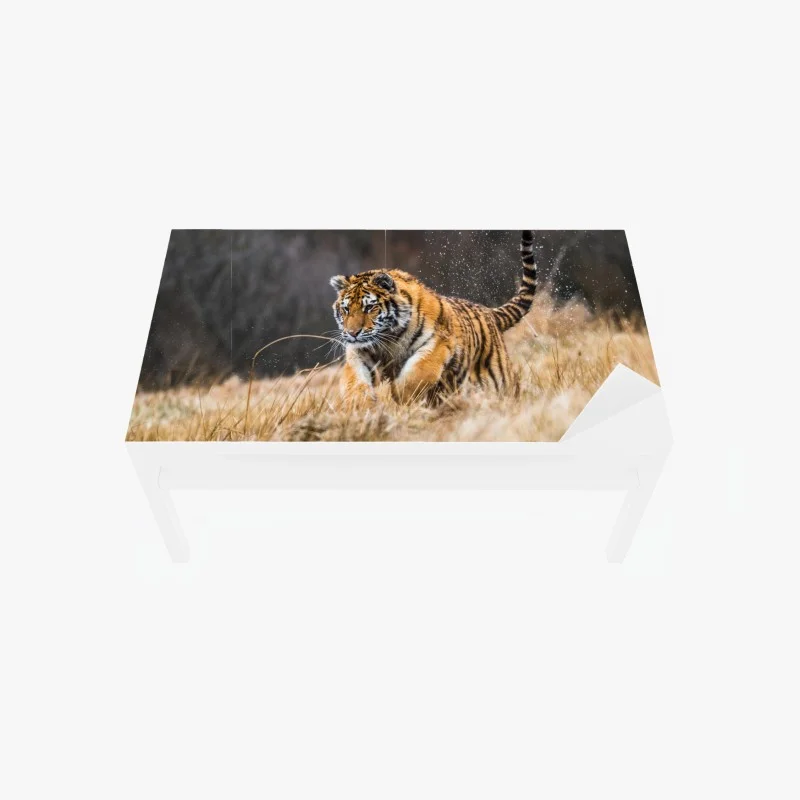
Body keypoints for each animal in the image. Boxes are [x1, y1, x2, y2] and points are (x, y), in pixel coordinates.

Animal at [330, 230, 537, 404]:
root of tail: (488, 312)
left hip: (499, 379)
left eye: (369, 307)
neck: (389, 339)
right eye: (346, 309)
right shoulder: (359, 353)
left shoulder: (437, 345)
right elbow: (355, 381)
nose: (352, 333)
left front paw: (398, 398)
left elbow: (417, 374)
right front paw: (359, 406)